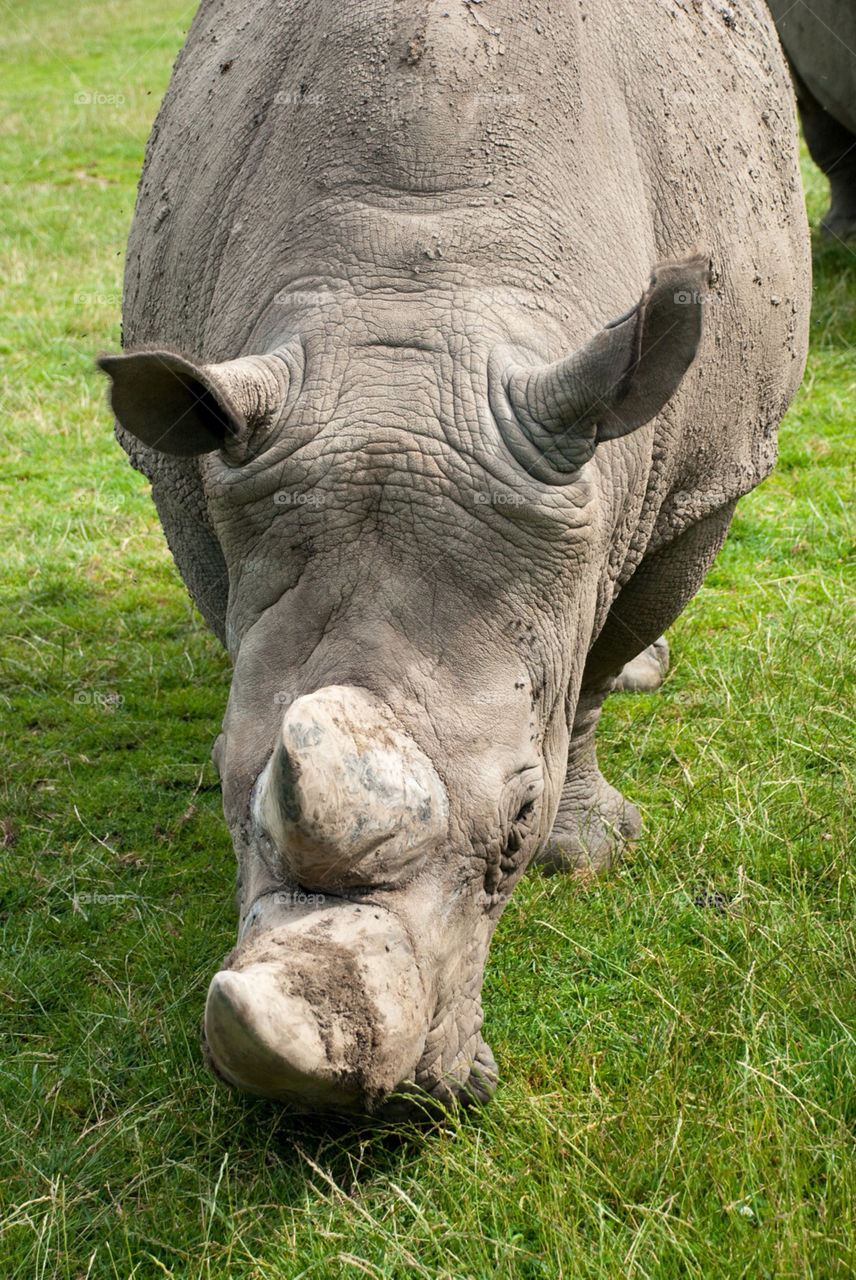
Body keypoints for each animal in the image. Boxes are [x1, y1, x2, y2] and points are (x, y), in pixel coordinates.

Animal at [98, 0, 808, 1111]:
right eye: (222, 784)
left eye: (517, 816)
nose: (336, 1106)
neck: (419, 290)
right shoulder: (201, 464)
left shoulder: (698, 476)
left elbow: (590, 666)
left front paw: (585, 851)